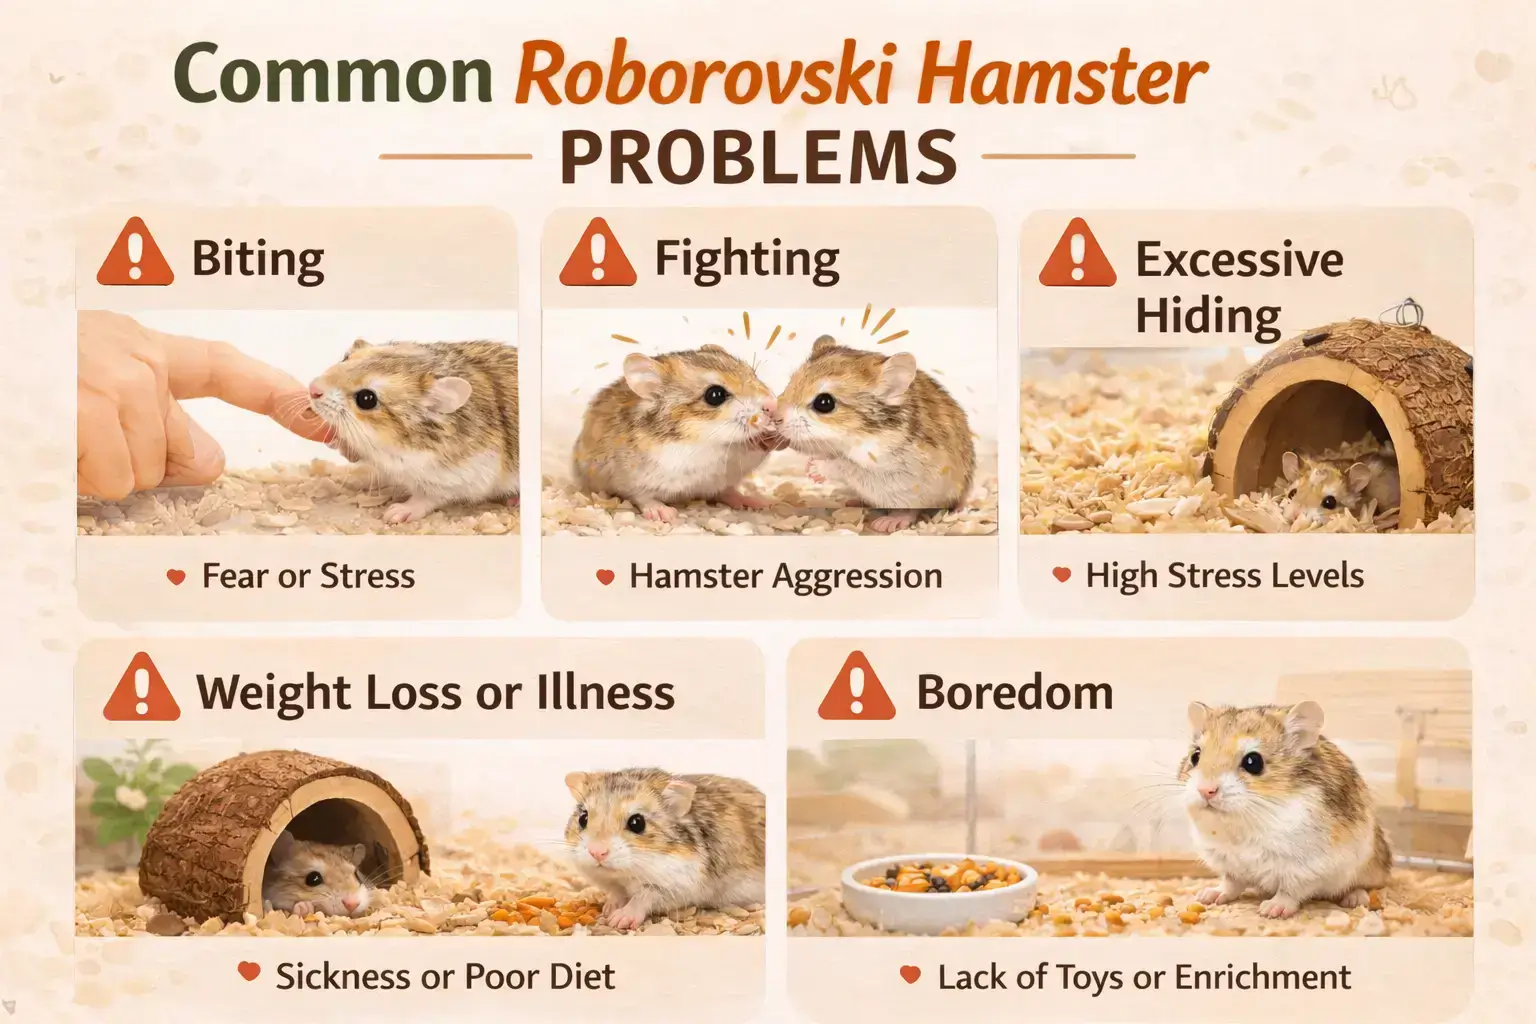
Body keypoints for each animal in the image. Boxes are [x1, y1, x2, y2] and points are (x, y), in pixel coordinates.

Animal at [307, 340, 519, 524]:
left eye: (366, 399)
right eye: (346, 357)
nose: (312, 388)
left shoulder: (458, 478)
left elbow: (427, 498)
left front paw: (395, 513)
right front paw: (334, 441)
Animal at [563, 768, 765, 931]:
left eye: (637, 823)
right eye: (583, 818)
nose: (597, 852)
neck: (625, 875)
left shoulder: (674, 887)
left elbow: (643, 897)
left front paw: (618, 919)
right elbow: (617, 894)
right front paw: (608, 908)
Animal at [571, 345, 779, 523]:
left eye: (753, 373)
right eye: (715, 395)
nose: (773, 405)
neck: (704, 438)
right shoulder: (635, 479)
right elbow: (642, 496)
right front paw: (666, 514)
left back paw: (756, 501)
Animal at [773, 335, 975, 533]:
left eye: (824, 403)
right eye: (790, 383)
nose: (775, 417)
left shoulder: (880, 464)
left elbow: (841, 465)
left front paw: (813, 469)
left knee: (911, 510)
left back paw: (888, 522)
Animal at [1180, 701, 1392, 919]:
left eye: (1253, 762)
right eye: (1195, 756)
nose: (1206, 790)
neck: (1240, 825)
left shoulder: (1304, 868)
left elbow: (1289, 891)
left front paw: (1270, 910)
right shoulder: (1228, 864)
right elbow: (1231, 884)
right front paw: (1207, 895)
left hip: (1369, 867)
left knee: (1365, 886)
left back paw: (1354, 898)